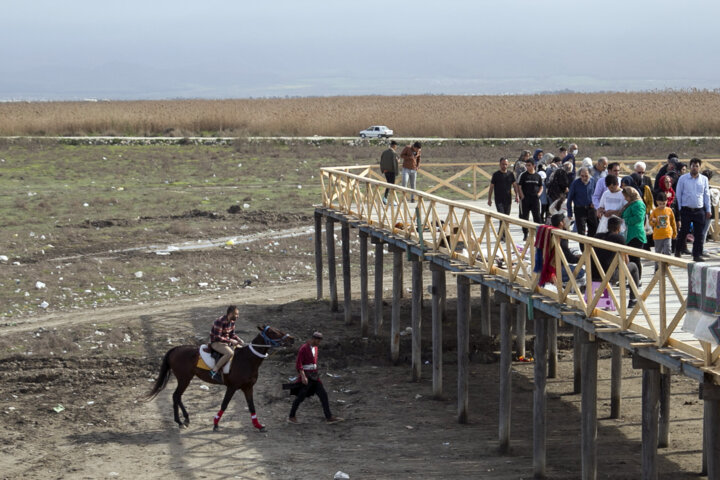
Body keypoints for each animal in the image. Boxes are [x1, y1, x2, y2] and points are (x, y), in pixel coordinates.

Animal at [143, 326, 292, 432]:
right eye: (273, 332)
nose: (292, 338)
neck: (247, 359)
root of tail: (175, 349)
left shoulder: (248, 387)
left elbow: (251, 407)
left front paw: (258, 425)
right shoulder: (232, 387)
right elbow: (224, 404)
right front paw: (215, 424)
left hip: (185, 378)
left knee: (177, 396)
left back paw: (185, 419)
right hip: (184, 378)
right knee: (176, 396)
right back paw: (180, 421)